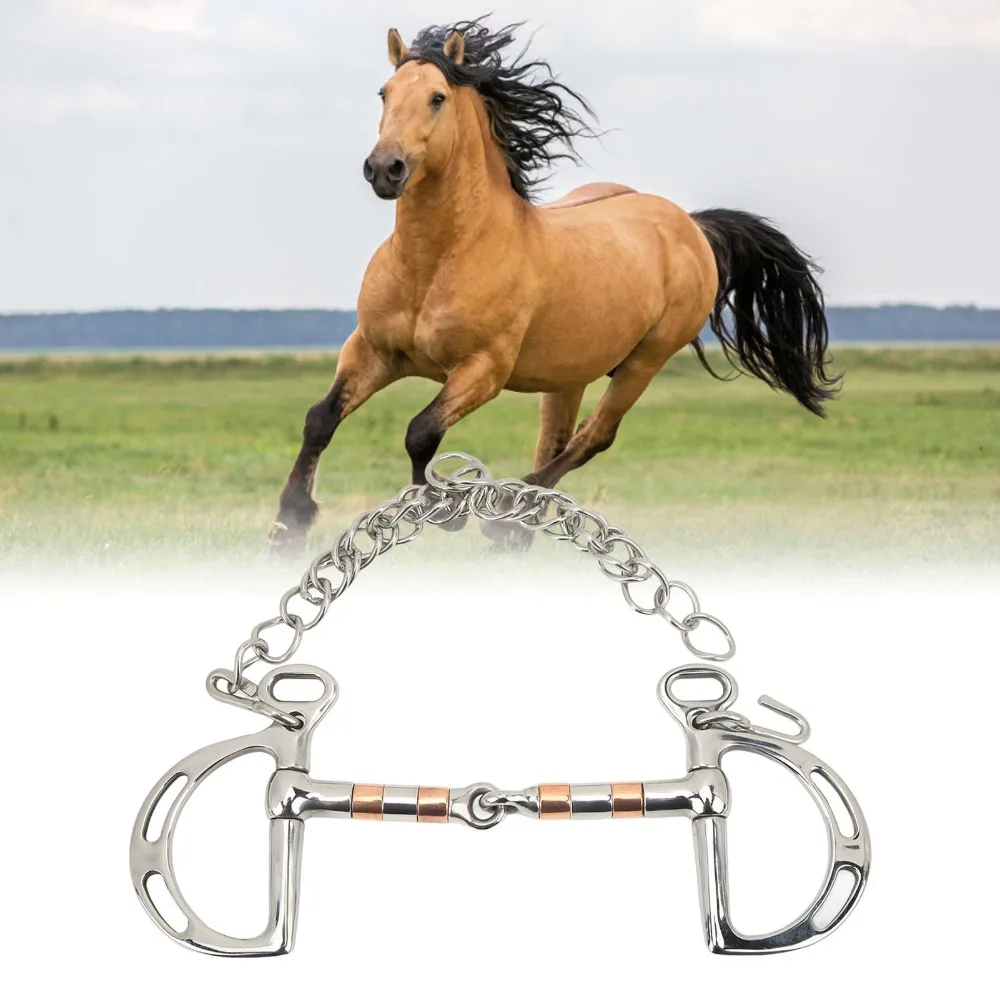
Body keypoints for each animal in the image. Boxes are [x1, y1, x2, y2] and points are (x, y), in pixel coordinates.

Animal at [269, 18, 839, 554]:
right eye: (384, 93)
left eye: (437, 97)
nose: (385, 168)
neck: (437, 261)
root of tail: (690, 225)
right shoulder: (373, 350)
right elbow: (321, 418)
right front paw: (288, 527)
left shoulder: (483, 370)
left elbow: (421, 431)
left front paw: (438, 512)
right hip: (570, 374)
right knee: (557, 439)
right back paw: (518, 530)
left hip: (644, 361)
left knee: (591, 438)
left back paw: (505, 522)